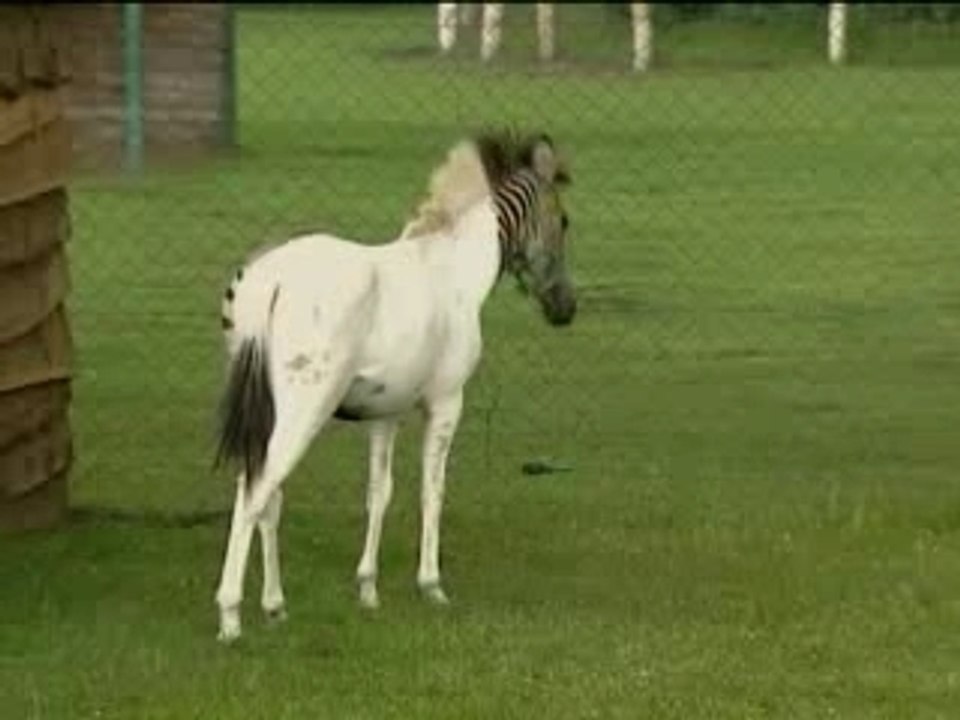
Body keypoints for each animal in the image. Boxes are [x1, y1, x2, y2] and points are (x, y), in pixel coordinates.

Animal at [211, 129, 577, 643]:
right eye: (563, 220)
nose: (566, 308)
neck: (454, 270)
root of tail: (271, 281)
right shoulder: (446, 402)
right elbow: (432, 490)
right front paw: (432, 586)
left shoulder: (385, 413)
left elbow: (378, 493)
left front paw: (368, 590)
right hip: (305, 407)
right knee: (258, 490)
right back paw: (230, 616)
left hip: (266, 409)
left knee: (267, 493)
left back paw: (275, 606)